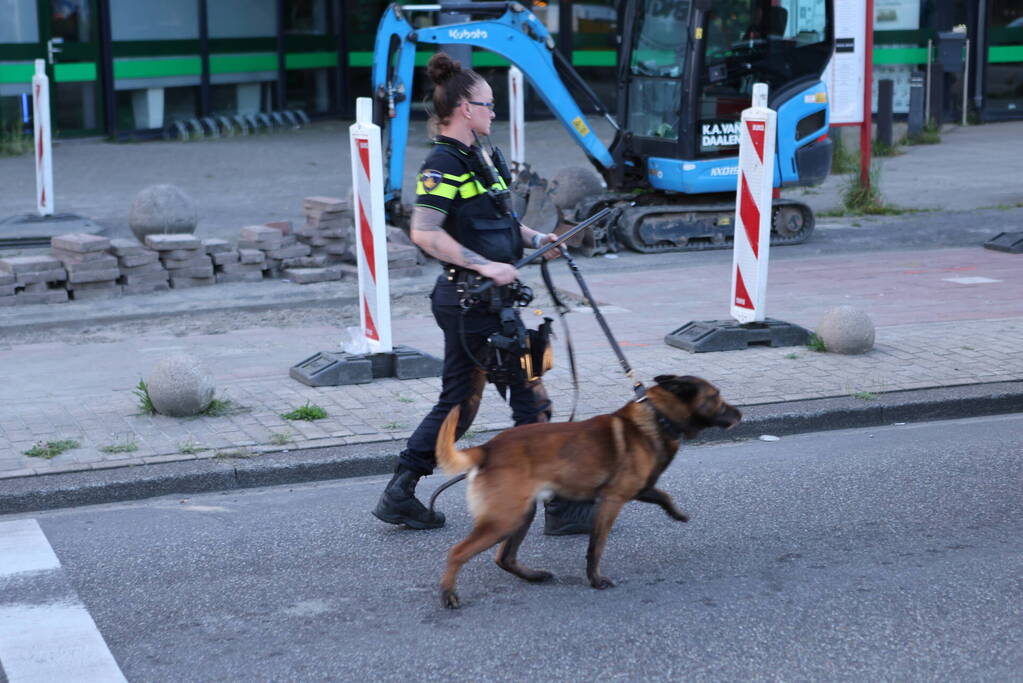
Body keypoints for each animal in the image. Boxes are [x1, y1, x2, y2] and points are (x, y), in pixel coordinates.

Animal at [433, 374, 744, 609]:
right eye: (716, 396)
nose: (740, 414)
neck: (657, 416)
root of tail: (486, 448)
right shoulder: (611, 501)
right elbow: (596, 547)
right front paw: (595, 580)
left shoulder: (638, 488)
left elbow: (662, 495)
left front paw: (677, 513)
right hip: (504, 519)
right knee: (457, 552)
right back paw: (448, 594)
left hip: (521, 514)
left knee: (504, 557)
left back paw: (533, 576)